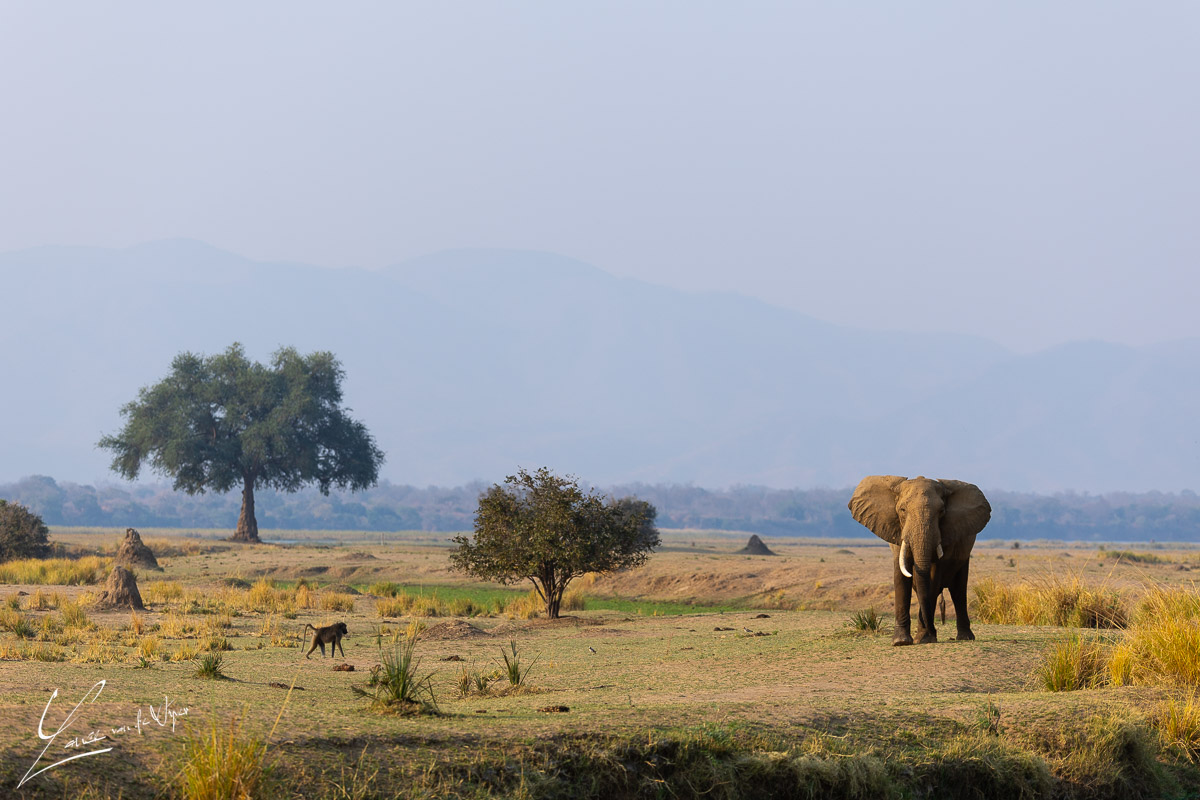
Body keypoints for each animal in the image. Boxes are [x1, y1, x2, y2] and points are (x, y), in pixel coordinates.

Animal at [844, 474, 993, 642]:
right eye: (902, 510)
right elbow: (901, 576)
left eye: (941, 511)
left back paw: (964, 637)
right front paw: (901, 642)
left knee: (958, 589)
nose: (932, 630)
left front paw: (924, 639)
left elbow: (933, 578)